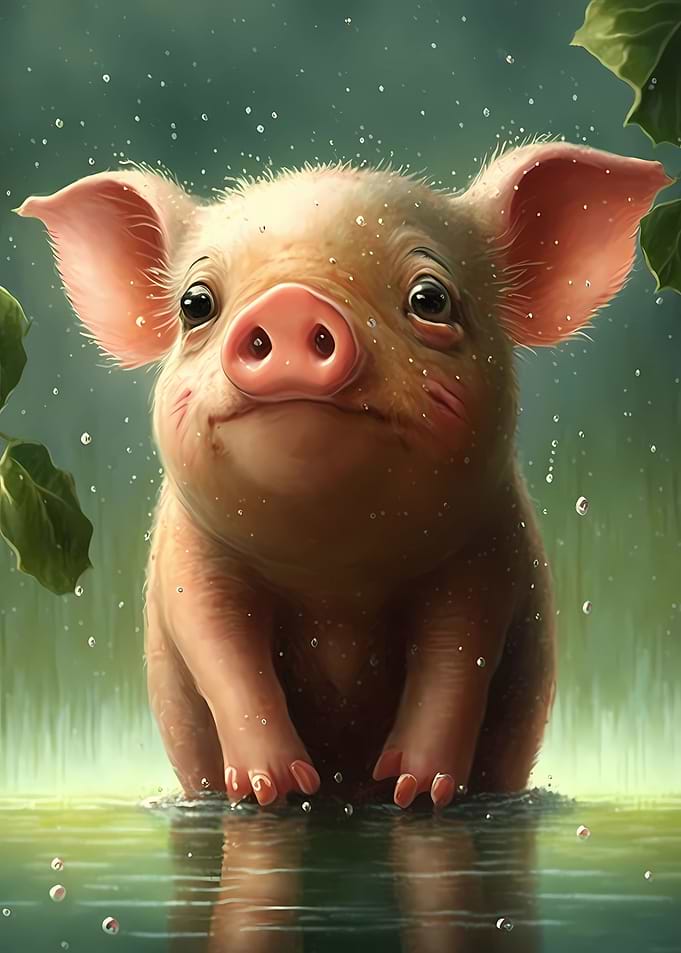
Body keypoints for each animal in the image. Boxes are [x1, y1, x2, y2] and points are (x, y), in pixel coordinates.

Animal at [18, 140, 670, 809]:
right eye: (195, 304)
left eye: (430, 299)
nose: (290, 302)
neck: (334, 576)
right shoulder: (188, 567)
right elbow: (222, 652)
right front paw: (272, 790)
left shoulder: (490, 558)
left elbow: (457, 658)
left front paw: (415, 792)